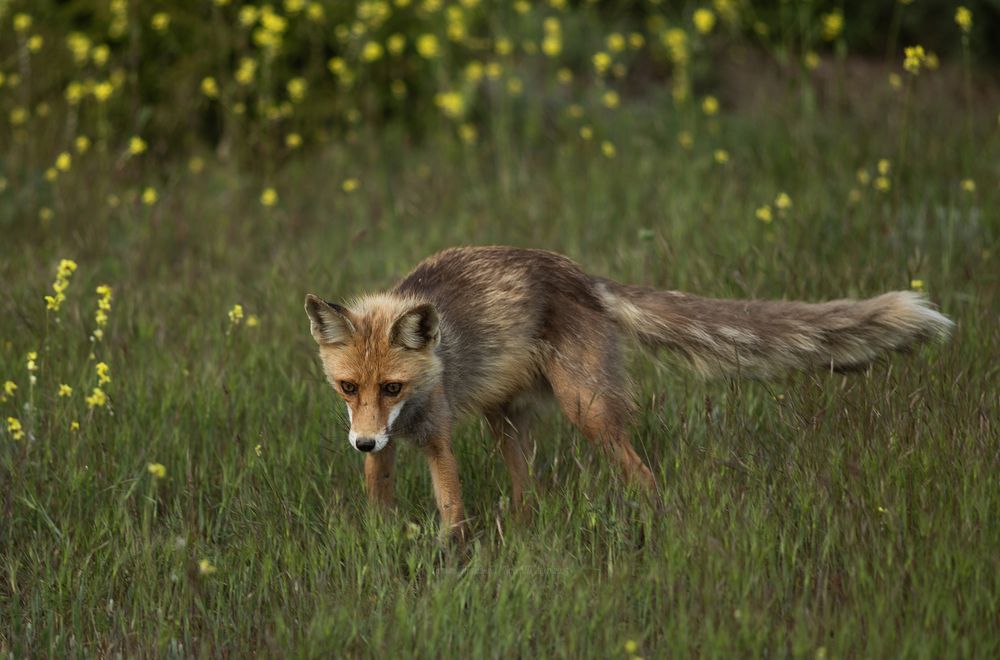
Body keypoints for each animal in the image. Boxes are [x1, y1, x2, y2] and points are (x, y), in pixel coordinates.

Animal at [305, 246, 953, 539]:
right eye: (348, 386)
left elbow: (451, 510)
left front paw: (450, 555)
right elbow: (380, 502)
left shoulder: (436, 435)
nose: (361, 442)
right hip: (506, 421)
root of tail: (580, 274)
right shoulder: (387, 443)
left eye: (393, 386)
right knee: (528, 493)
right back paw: (525, 526)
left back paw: (660, 523)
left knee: (642, 475)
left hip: (587, 411)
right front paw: (383, 543)